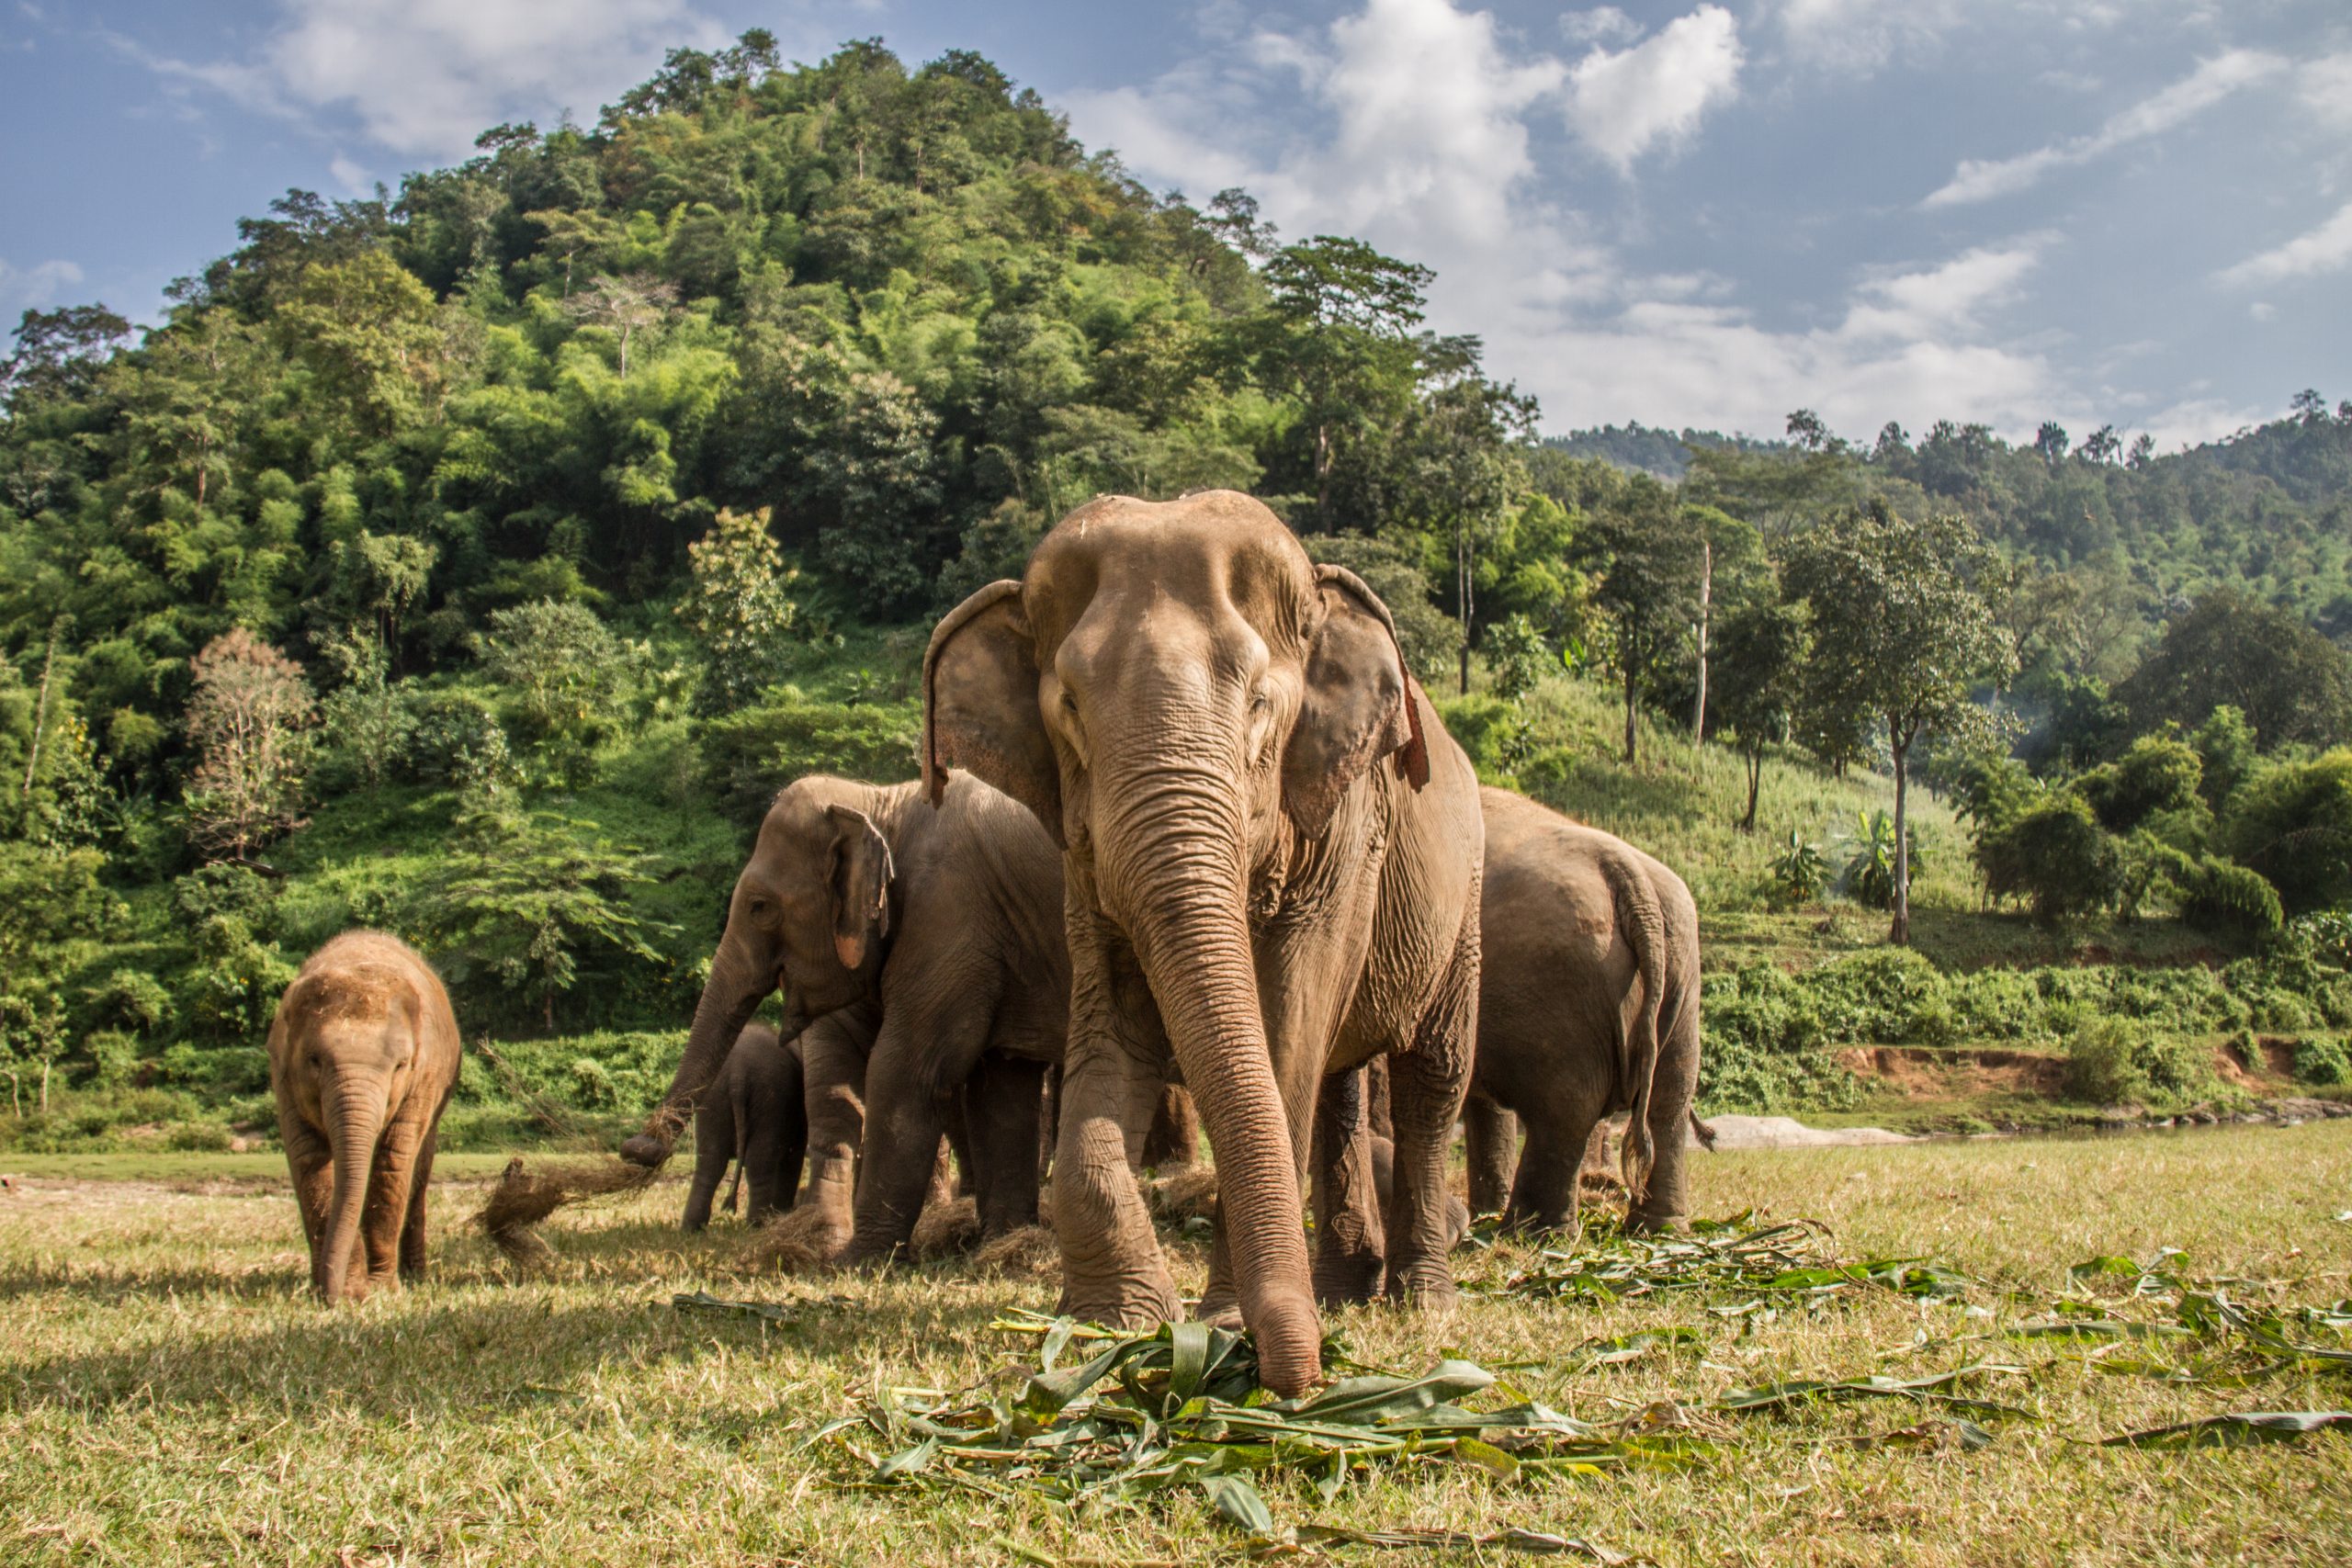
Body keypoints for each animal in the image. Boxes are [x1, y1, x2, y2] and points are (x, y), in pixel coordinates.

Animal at [270, 931, 463, 1297]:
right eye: (314, 1060)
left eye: (401, 1065)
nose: (334, 1298)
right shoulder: (283, 1077)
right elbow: (308, 1160)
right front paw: (345, 1290)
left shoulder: (424, 1078)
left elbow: (393, 1161)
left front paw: (380, 1289)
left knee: (418, 1168)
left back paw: (415, 1276)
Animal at [686, 1024, 813, 1232]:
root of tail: (738, 1074)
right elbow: (794, 1156)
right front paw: (782, 1213)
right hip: (770, 1099)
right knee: (759, 1161)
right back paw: (758, 1224)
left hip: (714, 1099)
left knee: (710, 1162)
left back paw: (692, 1228)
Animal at [926, 491, 1476, 1401]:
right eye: (1069, 706)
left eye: (1258, 702)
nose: (1298, 1378)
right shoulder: (1085, 858)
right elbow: (1113, 1022)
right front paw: (1113, 1324)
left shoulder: (1343, 828)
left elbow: (1286, 1027)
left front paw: (1217, 1323)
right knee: (1339, 1085)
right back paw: (1342, 1290)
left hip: (1463, 902)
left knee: (1432, 1077)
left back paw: (1421, 1302)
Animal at [1458, 789, 1702, 1232]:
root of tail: (1631, 880)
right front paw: (1481, 1211)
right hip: (1682, 976)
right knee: (1670, 1099)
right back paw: (1658, 1228)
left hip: (1555, 986)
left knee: (1564, 1108)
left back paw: (1532, 1230)